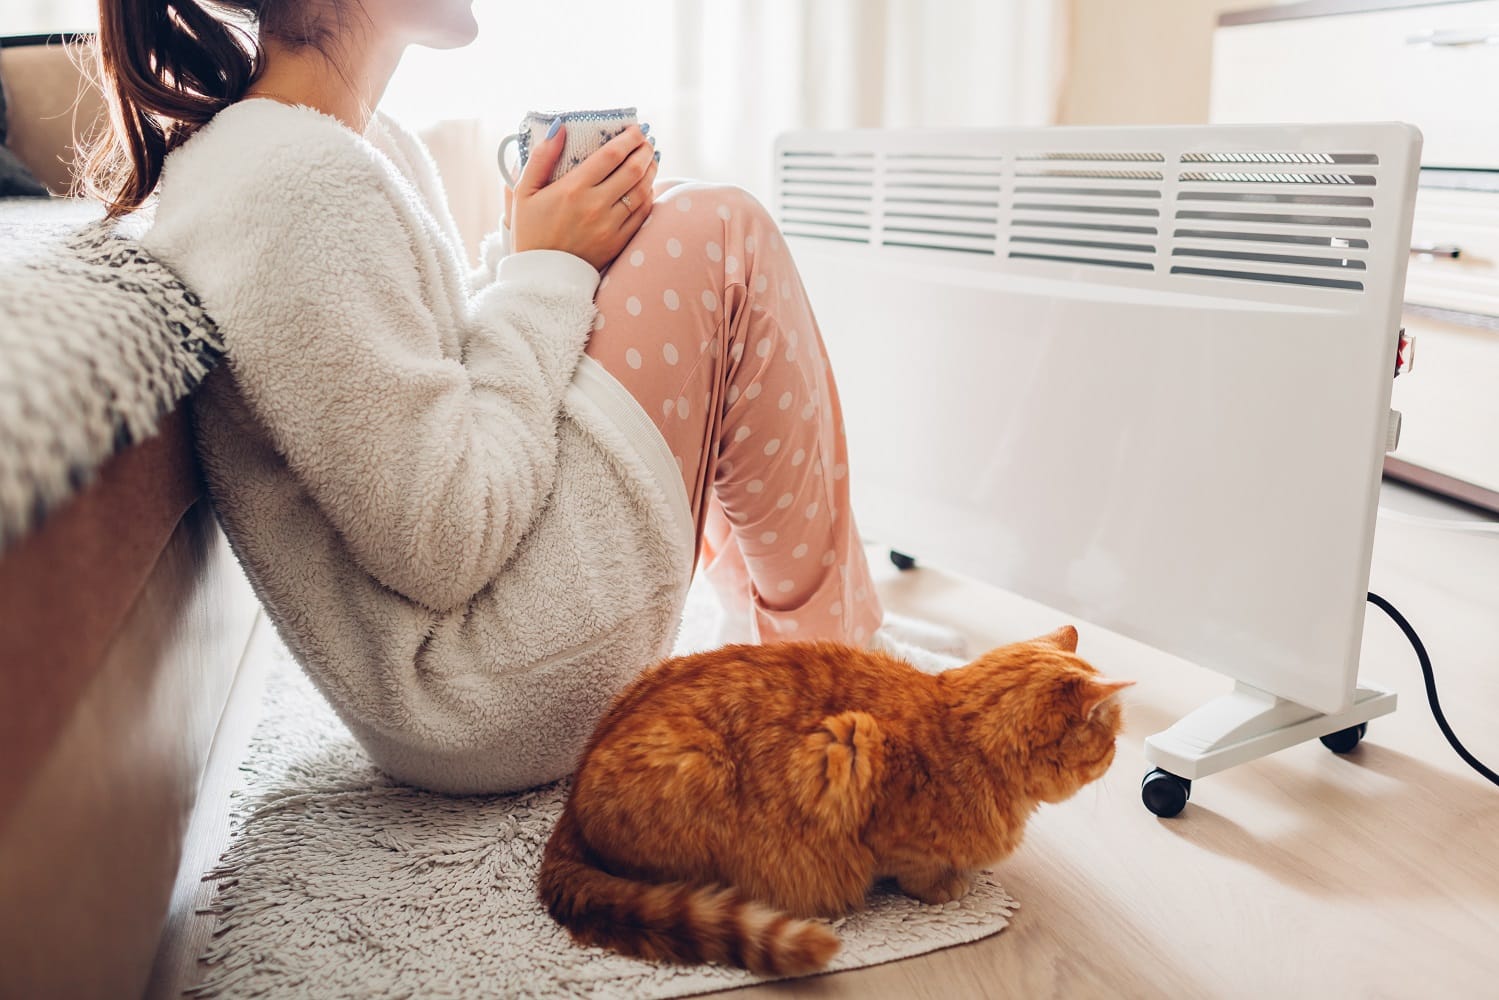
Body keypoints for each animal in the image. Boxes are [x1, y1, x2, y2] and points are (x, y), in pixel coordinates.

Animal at [533, 626, 1127, 977]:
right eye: (1112, 736)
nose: (1119, 755)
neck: (961, 734)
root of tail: (569, 808)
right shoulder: (851, 749)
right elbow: (917, 870)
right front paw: (947, 888)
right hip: (697, 770)